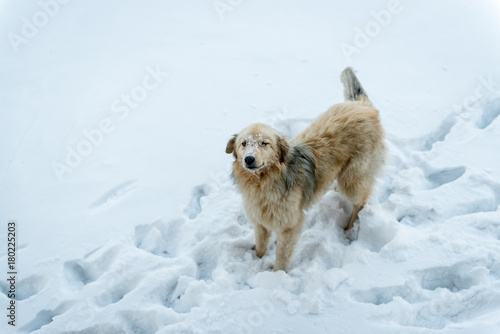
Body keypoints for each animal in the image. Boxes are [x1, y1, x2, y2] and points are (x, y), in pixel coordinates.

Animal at [227, 68, 386, 272]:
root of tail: (362, 106)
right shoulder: (260, 223)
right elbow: (261, 247)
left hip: (353, 179)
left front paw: (275, 276)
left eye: (264, 143)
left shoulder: (289, 226)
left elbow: (281, 256)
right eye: (244, 143)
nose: (249, 159)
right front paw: (257, 262)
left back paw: (349, 229)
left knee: (361, 202)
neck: (263, 182)